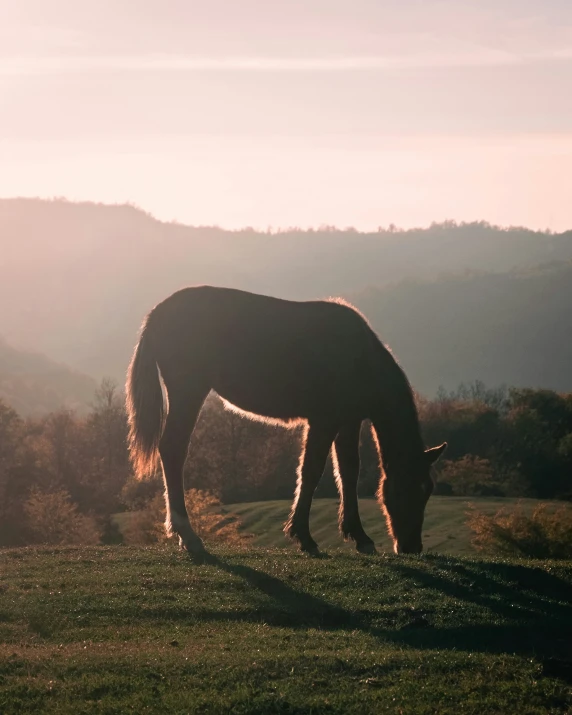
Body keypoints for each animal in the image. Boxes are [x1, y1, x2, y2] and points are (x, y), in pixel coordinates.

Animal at [125, 286, 446, 560]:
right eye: (408, 488)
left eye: (428, 490)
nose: (411, 547)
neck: (358, 356)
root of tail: (157, 313)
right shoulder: (324, 421)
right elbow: (311, 472)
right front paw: (304, 537)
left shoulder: (348, 421)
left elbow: (348, 472)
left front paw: (359, 536)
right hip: (188, 392)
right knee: (173, 450)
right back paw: (188, 535)